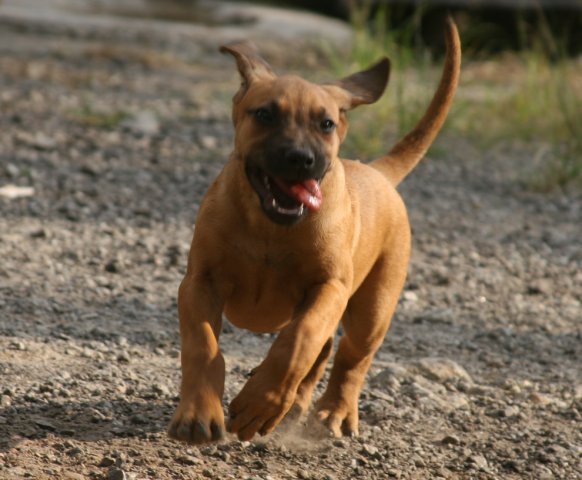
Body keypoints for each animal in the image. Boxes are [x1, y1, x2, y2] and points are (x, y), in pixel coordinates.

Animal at [168, 18, 460, 446]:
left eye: (326, 124)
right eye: (264, 115)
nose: (301, 158)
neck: (270, 229)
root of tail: (377, 172)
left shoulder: (329, 288)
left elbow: (298, 341)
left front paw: (259, 403)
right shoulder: (199, 282)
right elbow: (202, 345)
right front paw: (199, 414)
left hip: (373, 310)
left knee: (349, 360)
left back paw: (331, 413)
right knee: (324, 352)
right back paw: (297, 406)